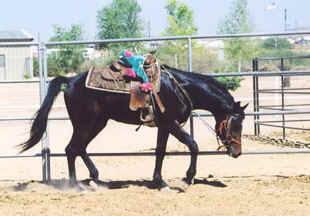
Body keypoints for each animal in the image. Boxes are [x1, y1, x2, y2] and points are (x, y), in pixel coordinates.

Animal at [18, 64, 247, 189]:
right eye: (237, 124)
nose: (237, 152)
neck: (179, 88)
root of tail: (71, 80)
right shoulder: (170, 123)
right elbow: (193, 145)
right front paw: (187, 178)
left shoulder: (163, 126)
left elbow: (160, 152)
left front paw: (159, 181)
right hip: (86, 123)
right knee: (71, 149)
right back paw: (76, 186)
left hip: (97, 123)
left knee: (78, 148)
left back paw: (95, 178)